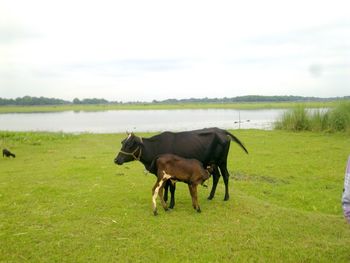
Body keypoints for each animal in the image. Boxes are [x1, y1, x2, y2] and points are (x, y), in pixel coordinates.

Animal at [113, 128, 247, 210]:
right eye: (122, 142)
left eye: (130, 145)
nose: (116, 160)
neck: (155, 148)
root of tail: (221, 130)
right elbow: (165, 186)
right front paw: (165, 199)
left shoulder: (172, 172)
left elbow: (171, 188)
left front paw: (171, 204)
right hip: (213, 163)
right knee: (217, 176)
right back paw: (210, 196)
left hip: (222, 161)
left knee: (225, 176)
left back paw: (226, 197)